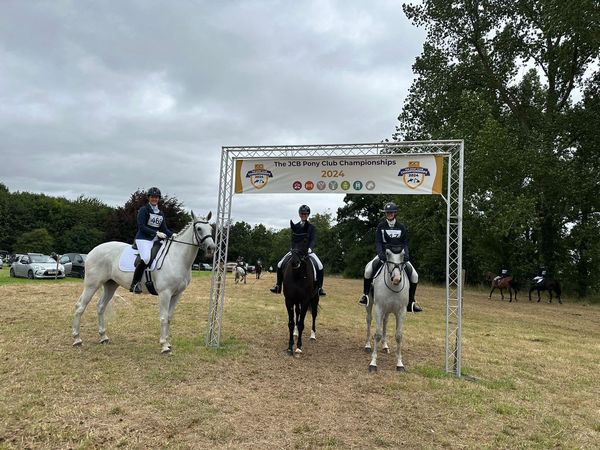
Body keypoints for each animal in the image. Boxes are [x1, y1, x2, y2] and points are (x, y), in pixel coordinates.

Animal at [71, 213, 216, 354]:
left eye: (211, 229)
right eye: (199, 229)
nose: (212, 248)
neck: (176, 257)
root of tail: (93, 251)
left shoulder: (177, 294)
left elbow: (169, 317)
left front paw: (168, 343)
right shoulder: (165, 294)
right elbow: (163, 317)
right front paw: (164, 346)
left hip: (110, 285)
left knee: (101, 307)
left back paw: (103, 337)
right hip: (92, 285)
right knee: (80, 307)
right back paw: (77, 339)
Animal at [284, 221, 322, 356]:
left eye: (305, 240)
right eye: (292, 238)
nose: (294, 262)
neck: (298, 275)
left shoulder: (305, 300)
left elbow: (301, 323)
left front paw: (299, 347)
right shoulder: (289, 300)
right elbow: (291, 323)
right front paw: (290, 346)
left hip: (315, 298)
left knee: (314, 314)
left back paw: (313, 335)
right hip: (296, 301)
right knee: (298, 312)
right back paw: (295, 333)